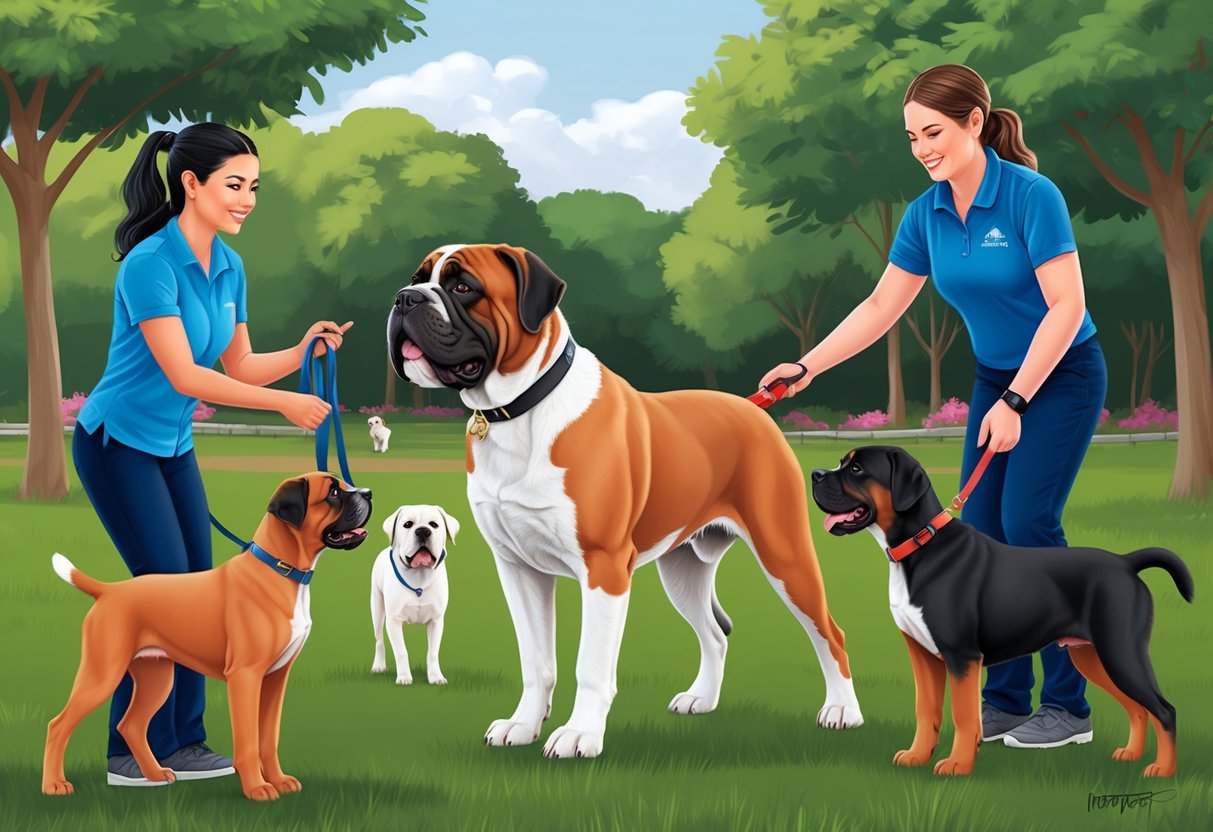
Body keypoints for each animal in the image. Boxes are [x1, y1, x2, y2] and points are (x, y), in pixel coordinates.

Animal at [42, 473, 368, 800]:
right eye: (333, 493)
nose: (368, 493)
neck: (279, 568)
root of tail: (110, 590)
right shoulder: (246, 677)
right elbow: (249, 741)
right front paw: (257, 788)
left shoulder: (276, 679)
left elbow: (268, 739)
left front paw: (278, 780)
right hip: (102, 674)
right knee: (58, 725)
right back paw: (54, 785)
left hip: (156, 679)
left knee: (131, 725)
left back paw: (155, 774)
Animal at [368, 504, 458, 688]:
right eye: (408, 524)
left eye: (434, 525)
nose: (423, 531)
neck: (419, 576)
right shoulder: (394, 621)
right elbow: (401, 651)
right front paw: (404, 677)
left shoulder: (436, 621)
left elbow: (432, 653)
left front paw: (436, 677)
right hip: (377, 607)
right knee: (379, 639)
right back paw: (379, 666)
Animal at [810, 446, 1188, 781]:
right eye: (843, 463)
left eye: (857, 469)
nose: (815, 474)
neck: (920, 545)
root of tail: (1126, 563)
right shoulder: (923, 655)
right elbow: (926, 710)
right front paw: (917, 756)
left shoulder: (962, 655)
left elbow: (964, 716)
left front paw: (957, 766)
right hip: (1092, 656)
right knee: (1138, 708)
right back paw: (1130, 755)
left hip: (1120, 652)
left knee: (1164, 710)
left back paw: (1163, 771)